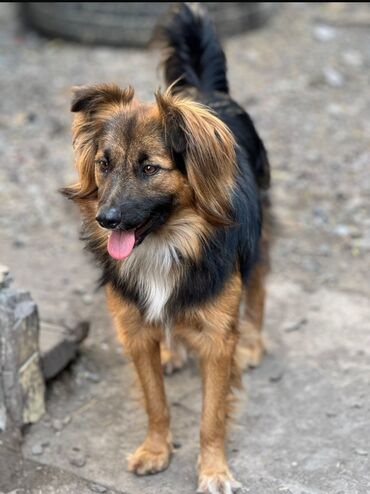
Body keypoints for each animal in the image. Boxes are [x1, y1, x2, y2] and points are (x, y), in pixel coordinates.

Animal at [62, 3, 270, 494]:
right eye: (104, 164)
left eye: (149, 168)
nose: (106, 218)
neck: (166, 243)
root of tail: (204, 88)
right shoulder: (134, 329)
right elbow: (155, 401)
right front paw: (156, 450)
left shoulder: (217, 337)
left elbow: (212, 416)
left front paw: (213, 470)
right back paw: (172, 351)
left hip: (260, 234)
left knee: (259, 284)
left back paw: (253, 341)